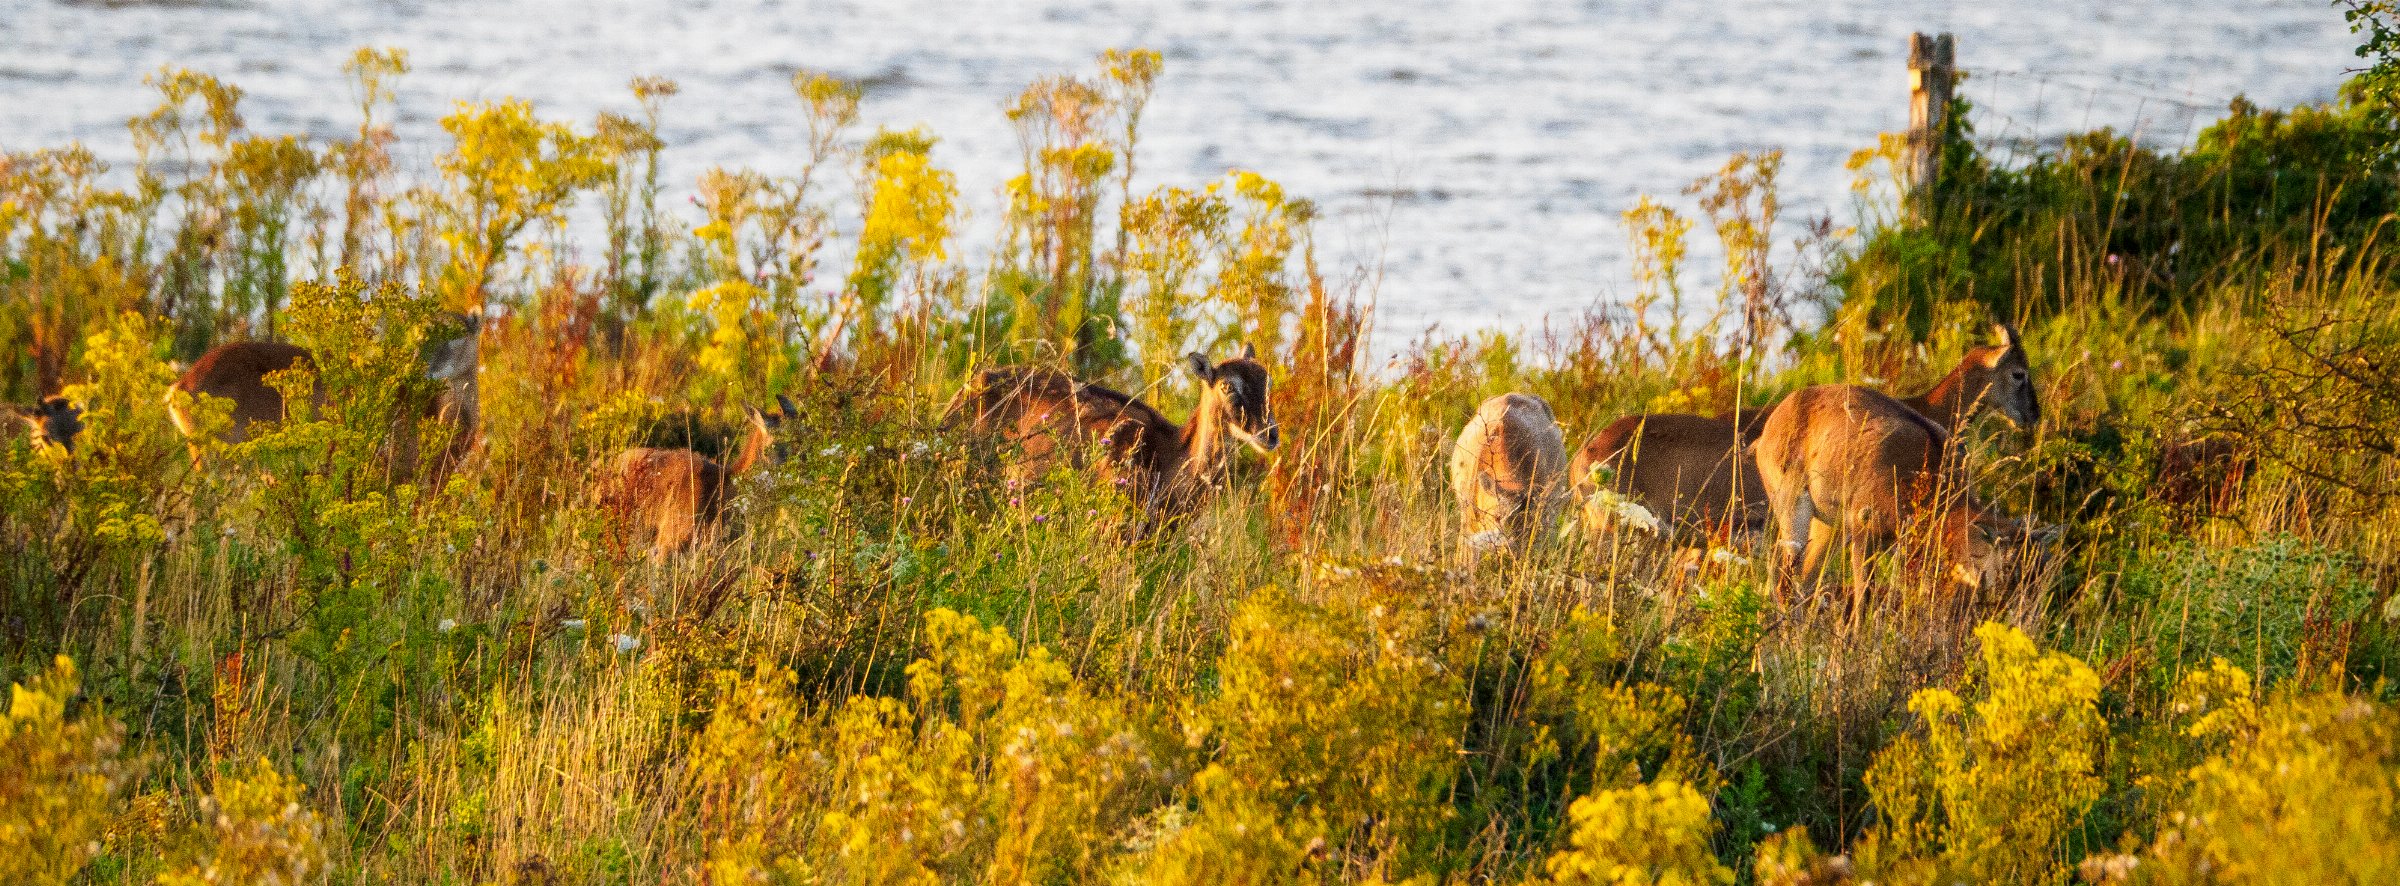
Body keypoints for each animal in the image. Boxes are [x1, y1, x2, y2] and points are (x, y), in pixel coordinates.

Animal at [1750, 323, 2042, 620]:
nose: (2033, 414)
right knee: (1785, 585)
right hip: (1795, 514)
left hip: (1827, 528)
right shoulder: (1864, 535)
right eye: (2019, 373)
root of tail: (1772, 424)